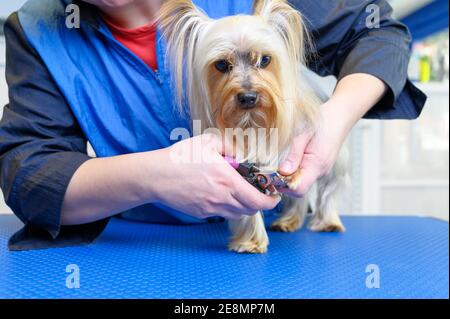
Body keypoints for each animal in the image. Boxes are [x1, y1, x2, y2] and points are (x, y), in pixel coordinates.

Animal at [158, 0, 348, 255]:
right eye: (221, 64)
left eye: (265, 60)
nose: (248, 97)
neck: (251, 123)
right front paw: (251, 241)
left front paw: (292, 175)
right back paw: (289, 221)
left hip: (336, 160)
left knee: (329, 187)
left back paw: (328, 222)